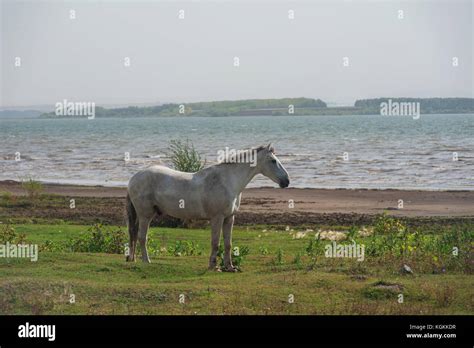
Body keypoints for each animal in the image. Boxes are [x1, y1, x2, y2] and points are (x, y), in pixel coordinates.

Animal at [126, 144, 288, 272]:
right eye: (273, 160)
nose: (286, 181)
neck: (227, 181)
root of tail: (134, 178)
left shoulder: (229, 218)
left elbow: (228, 244)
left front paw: (230, 267)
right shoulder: (217, 218)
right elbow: (215, 243)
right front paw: (213, 266)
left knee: (135, 235)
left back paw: (133, 259)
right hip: (145, 216)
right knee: (142, 237)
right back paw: (146, 261)